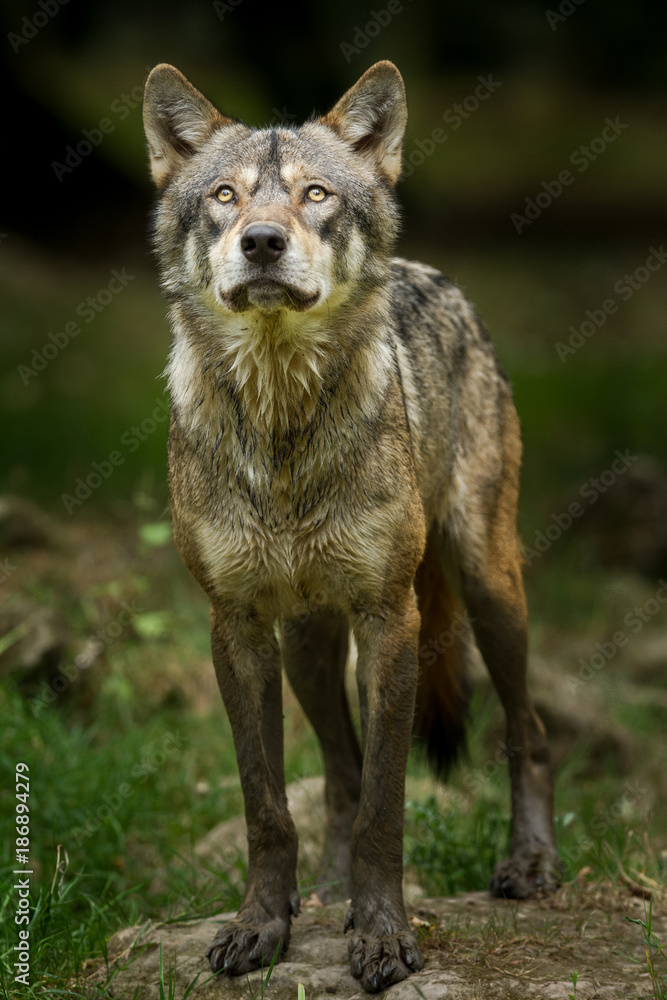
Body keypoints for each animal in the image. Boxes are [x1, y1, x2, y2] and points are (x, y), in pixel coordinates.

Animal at [142, 61, 560, 993]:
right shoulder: (236, 625)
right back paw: (324, 893)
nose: (263, 241)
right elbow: (270, 805)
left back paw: (530, 864)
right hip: (307, 642)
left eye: (316, 194)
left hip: (487, 586)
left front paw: (381, 937)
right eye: (224, 196)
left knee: (529, 732)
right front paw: (263, 926)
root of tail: (433, 273)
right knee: (335, 771)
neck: (281, 422)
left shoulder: (389, 617)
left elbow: (384, 806)